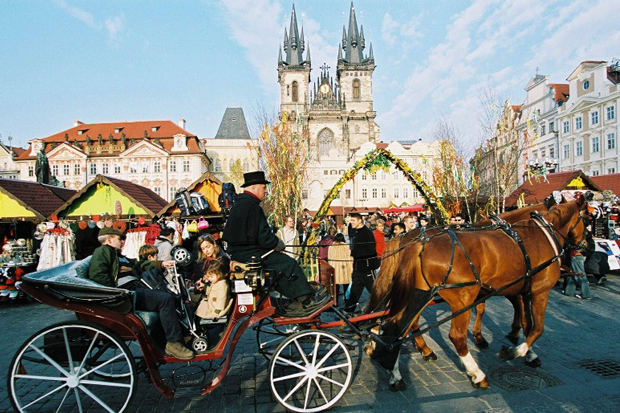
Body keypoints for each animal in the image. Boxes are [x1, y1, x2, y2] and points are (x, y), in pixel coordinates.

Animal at [366, 196, 584, 390]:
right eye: (587, 218)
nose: (584, 246)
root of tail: (414, 242)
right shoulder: (536, 291)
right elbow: (536, 327)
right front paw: (516, 350)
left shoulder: (515, 289)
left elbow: (521, 320)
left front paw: (517, 343)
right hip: (459, 298)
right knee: (452, 335)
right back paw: (477, 374)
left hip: (418, 293)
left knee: (396, 325)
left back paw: (394, 365)